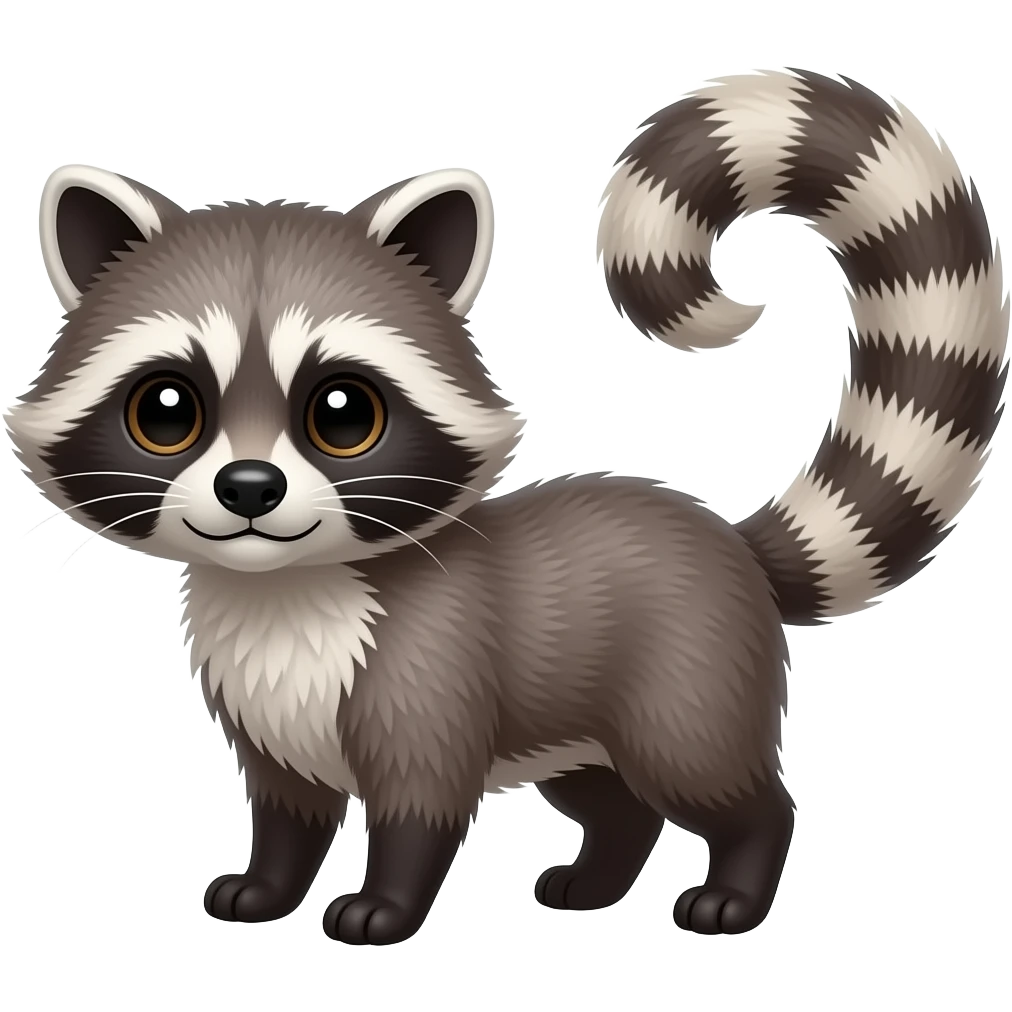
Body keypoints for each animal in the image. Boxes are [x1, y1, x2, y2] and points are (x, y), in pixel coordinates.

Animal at [8, 66, 1009, 946]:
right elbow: (290, 810)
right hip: (576, 725)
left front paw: (386, 906)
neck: (282, 593)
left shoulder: (430, 669)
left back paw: (739, 881)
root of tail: (728, 542)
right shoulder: (267, 715)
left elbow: (420, 805)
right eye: (165, 411)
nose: (249, 489)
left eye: (344, 414)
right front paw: (268, 885)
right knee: (613, 800)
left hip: (686, 678)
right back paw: (596, 877)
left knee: (720, 780)